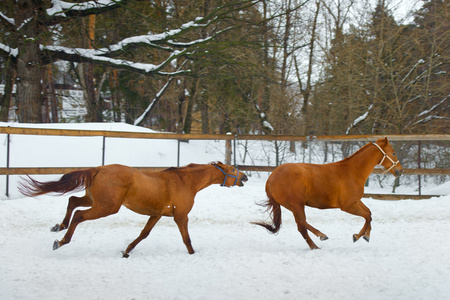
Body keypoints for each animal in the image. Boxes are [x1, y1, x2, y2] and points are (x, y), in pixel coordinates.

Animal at [19, 163, 248, 256]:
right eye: (233, 169)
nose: (244, 177)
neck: (185, 182)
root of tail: (98, 169)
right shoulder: (181, 216)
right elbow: (187, 239)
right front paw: (193, 254)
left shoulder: (156, 214)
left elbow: (143, 234)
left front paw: (126, 251)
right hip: (106, 207)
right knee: (79, 214)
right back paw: (61, 241)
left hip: (95, 200)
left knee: (73, 201)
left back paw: (59, 226)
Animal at [253, 137, 404, 250]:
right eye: (394, 153)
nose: (400, 171)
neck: (352, 172)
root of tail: (271, 178)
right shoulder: (347, 206)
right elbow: (367, 216)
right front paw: (357, 236)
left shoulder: (355, 201)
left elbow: (370, 214)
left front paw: (366, 236)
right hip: (296, 205)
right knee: (302, 224)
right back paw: (320, 237)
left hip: (294, 206)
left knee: (302, 226)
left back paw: (315, 246)